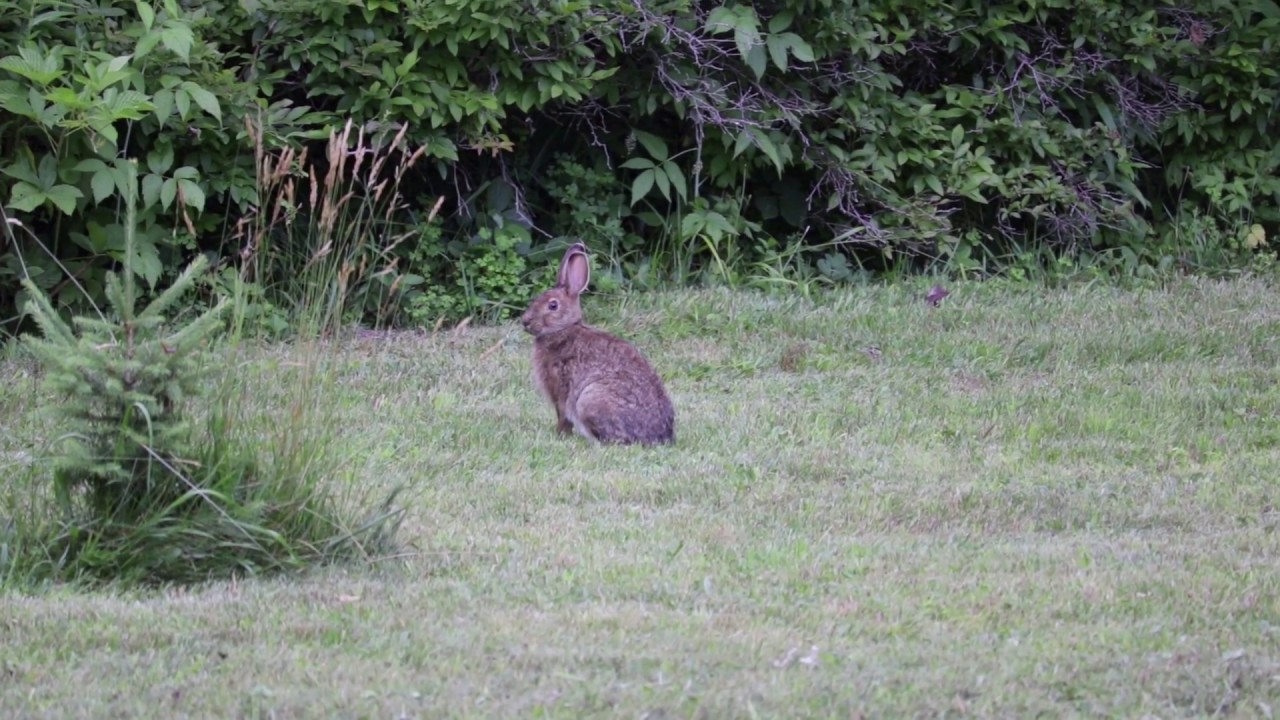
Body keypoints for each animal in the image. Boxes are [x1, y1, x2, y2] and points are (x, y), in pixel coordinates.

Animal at [520, 242, 675, 446]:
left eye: (553, 305)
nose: (525, 321)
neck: (563, 329)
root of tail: (660, 437)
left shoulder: (561, 388)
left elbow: (562, 415)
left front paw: (560, 435)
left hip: (590, 399)